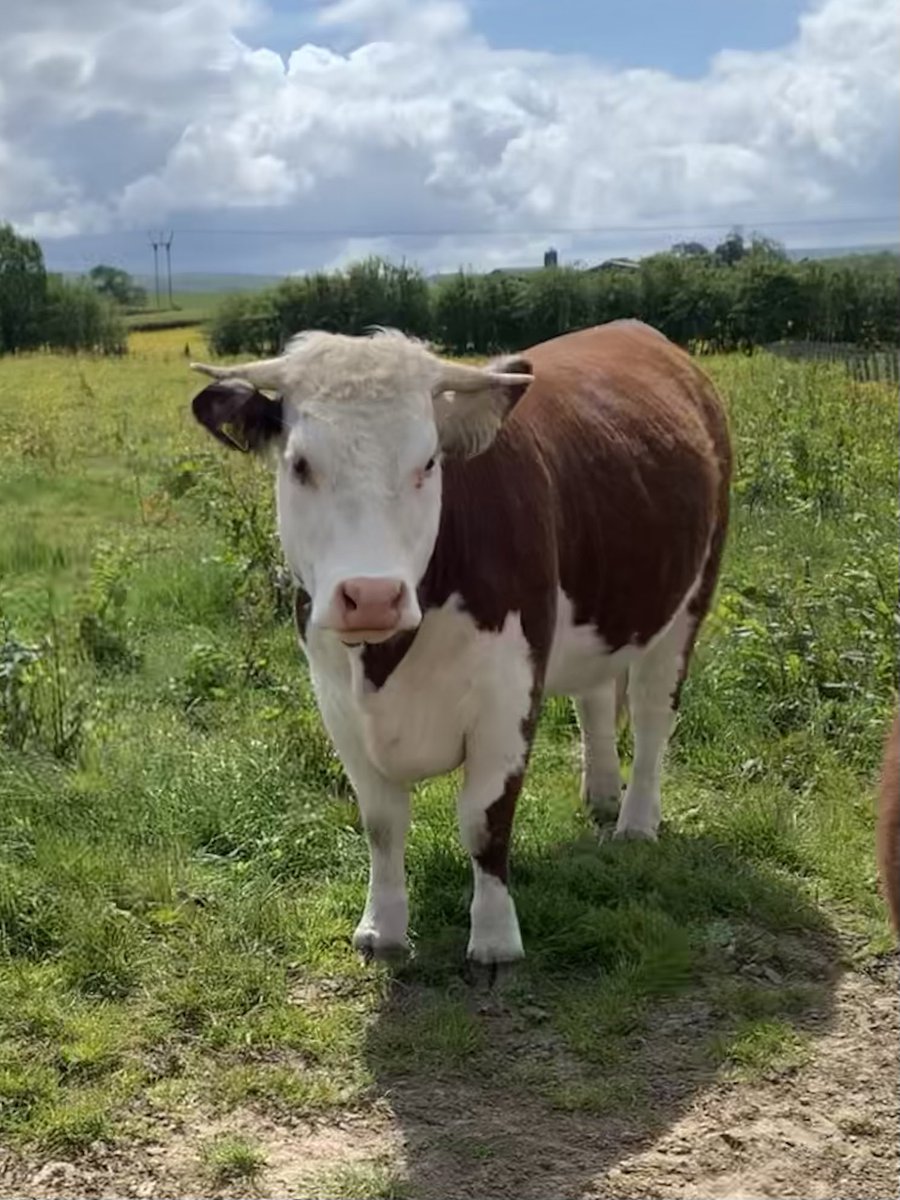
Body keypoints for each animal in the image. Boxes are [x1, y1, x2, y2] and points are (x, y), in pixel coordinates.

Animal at [189, 320, 732, 968]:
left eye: (427, 462)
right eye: (299, 464)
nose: (372, 596)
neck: (385, 663)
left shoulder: (509, 696)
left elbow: (484, 820)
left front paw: (495, 938)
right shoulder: (336, 701)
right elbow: (381, 821)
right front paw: (382, 927)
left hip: (687, 602)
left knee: (653, 716)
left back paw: (635, 822)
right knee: (596, 698)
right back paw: (602, 795)